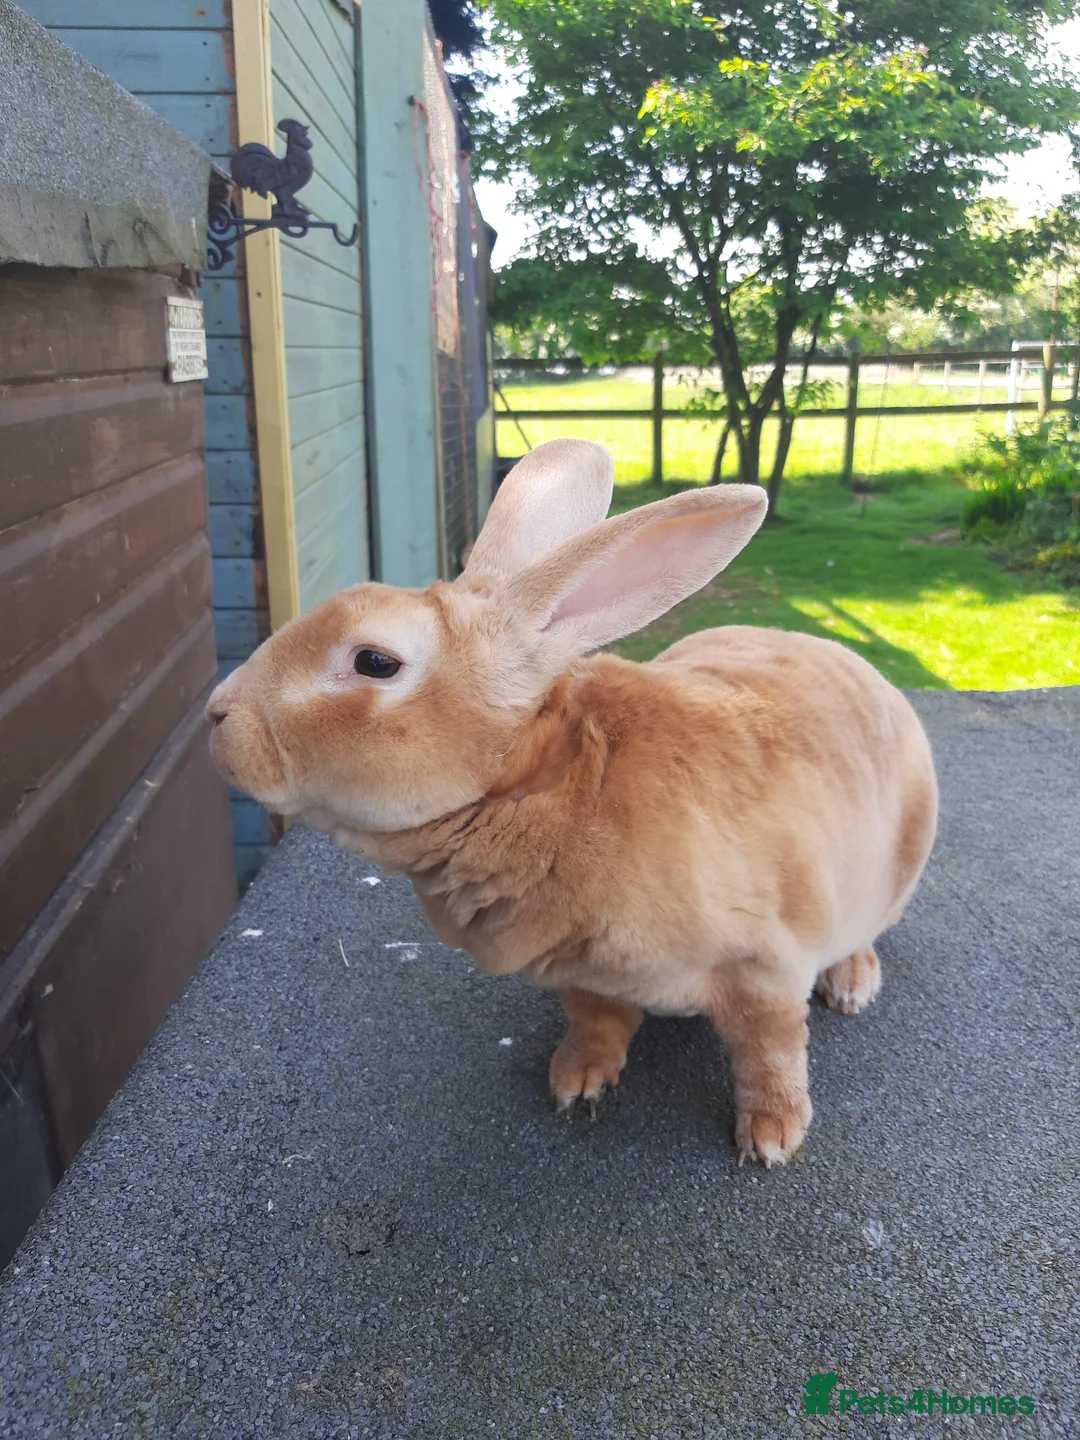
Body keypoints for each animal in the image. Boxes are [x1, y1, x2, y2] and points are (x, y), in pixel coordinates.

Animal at [207, 438, 937, 1166]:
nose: (217, 713)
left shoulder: (766, 969)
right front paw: (576, 1080)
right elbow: (597, 1022)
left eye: (375, 662)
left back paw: (852, 982)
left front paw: (772, 1136)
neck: (556, 788)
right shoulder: (584, 975)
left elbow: (772, 1050)